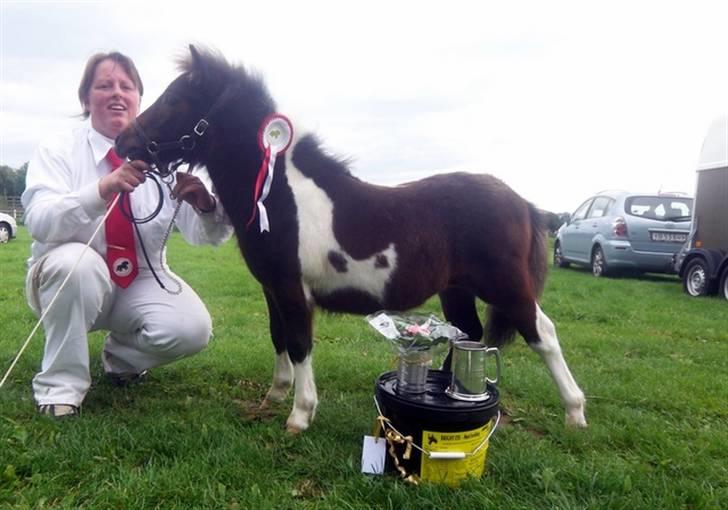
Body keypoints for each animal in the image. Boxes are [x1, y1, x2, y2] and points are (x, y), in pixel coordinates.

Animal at [116, 45, 588, 432]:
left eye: (175, 99)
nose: (123, 142)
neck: (281, 196)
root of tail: (521, 201)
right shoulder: (272, 288)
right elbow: (278, 337)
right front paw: (274, 395)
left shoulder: (293, 289)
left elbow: (300, 343)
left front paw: (300, 415)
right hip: (457, 289)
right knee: (467, 332)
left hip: (505, 285)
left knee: (543, 333)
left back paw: (575, 412)